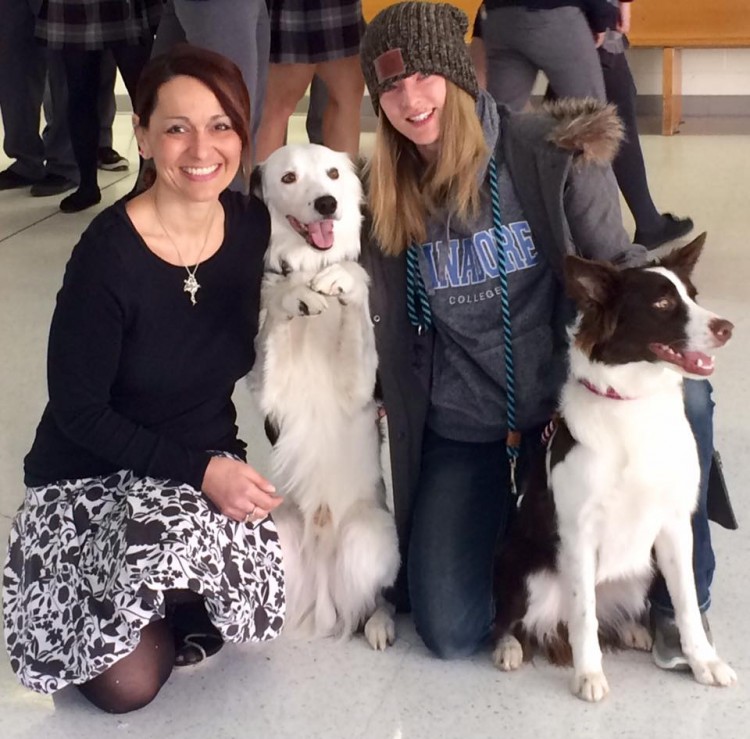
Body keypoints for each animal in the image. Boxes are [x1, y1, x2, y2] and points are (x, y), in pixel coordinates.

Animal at [250, 143, 402, 648]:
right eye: (289, 177)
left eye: (334, 174)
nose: (326, 203)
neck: (312, 262)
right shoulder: (270, 393)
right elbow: (279, 313)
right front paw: (296, 296)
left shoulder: (359, 385)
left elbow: (354, 301)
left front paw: (342, 282)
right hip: (275, 531)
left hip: (370, 536)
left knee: (373, 600)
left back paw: (379, 624)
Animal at [494, 236, 740, 700]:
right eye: (662, 303)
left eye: (693, 296)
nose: (727, 328)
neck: (632, 406)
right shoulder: (578, 534)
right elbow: (583, 617)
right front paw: (589, 674)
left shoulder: (674, 527)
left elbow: (686, 604)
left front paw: (704, 662)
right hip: (526, 571)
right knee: (516, 618)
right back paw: (508, 647)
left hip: (640, 571)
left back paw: (633, 631)